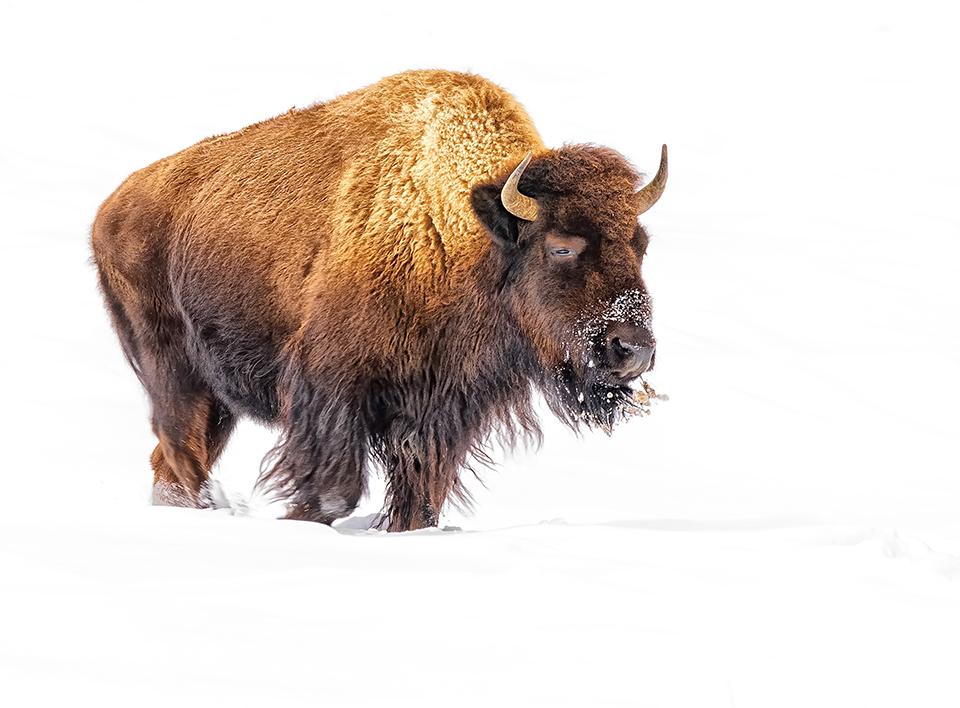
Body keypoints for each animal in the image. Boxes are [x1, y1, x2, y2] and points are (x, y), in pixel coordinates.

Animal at [94, 70, 672, 532]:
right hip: (174, 370)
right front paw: (300, 520)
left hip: (218, 399)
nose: (632, 349)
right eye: (561, 246)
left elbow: (419, 497)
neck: (460, 232)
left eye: (641, 243)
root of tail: (109, 209)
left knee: (169, 459)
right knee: (180, 449)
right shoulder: (330, 388)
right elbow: (335, 489)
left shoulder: (440, 410)